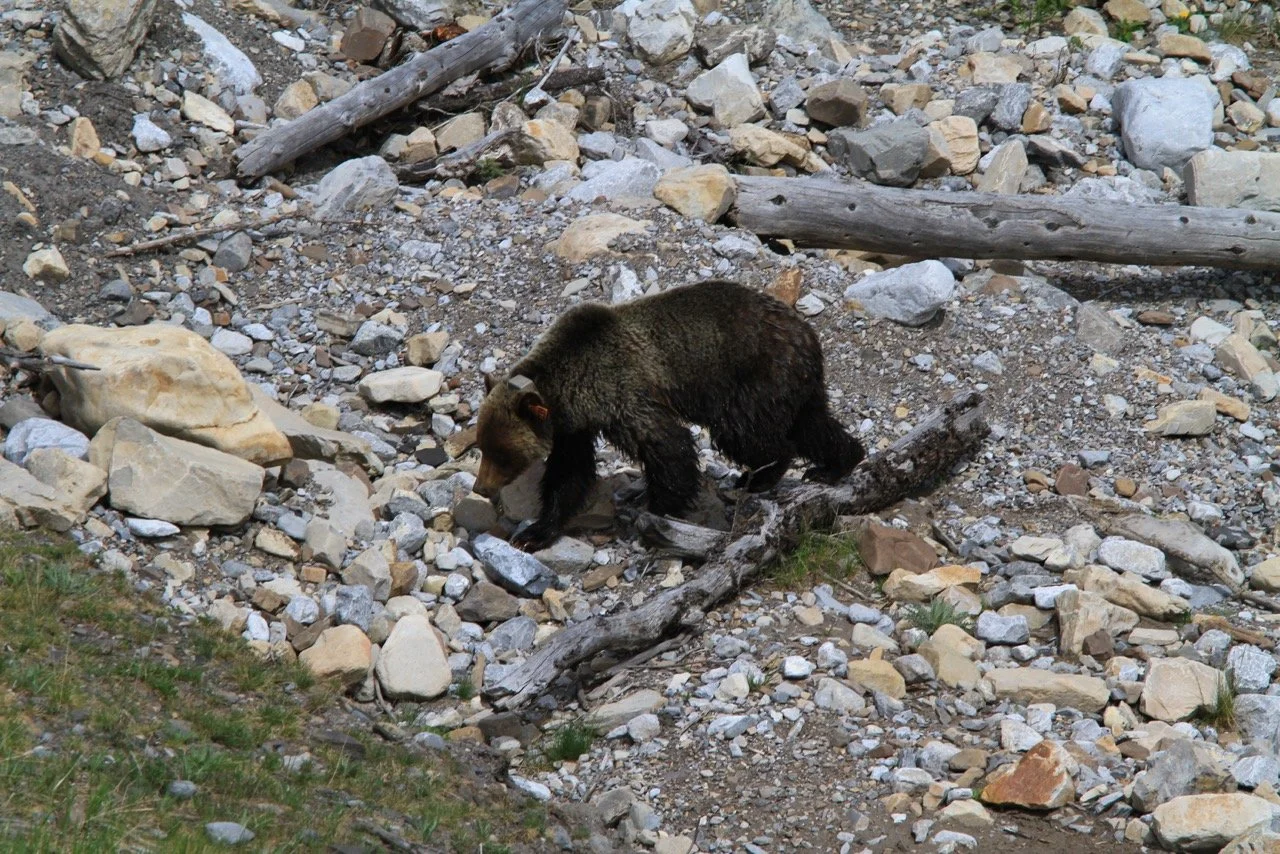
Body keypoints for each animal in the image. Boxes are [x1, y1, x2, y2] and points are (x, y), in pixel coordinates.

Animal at [472, 279, 865, 552]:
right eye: (482, 447)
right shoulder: (573, 426)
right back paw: (836, 463)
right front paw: (536, 532)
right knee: (813, 426)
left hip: (755, 376)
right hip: (792, 385)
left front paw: (657, 507)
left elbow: (666, 444)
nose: (480, 487)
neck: (570, 389)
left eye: (503, 455)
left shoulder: (623, 393)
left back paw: (759, 476)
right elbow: (568, 474)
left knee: (746, 434)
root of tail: (807, 333)